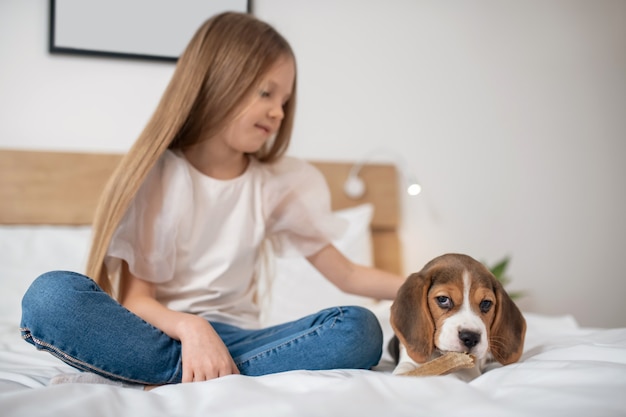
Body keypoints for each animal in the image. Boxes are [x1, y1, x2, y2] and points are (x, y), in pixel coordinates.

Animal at [388, 250, 524, 380]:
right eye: (443, 299)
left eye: (486, 303)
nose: (471, 337)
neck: (439, 355)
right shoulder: (408, 359)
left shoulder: (469, 367)